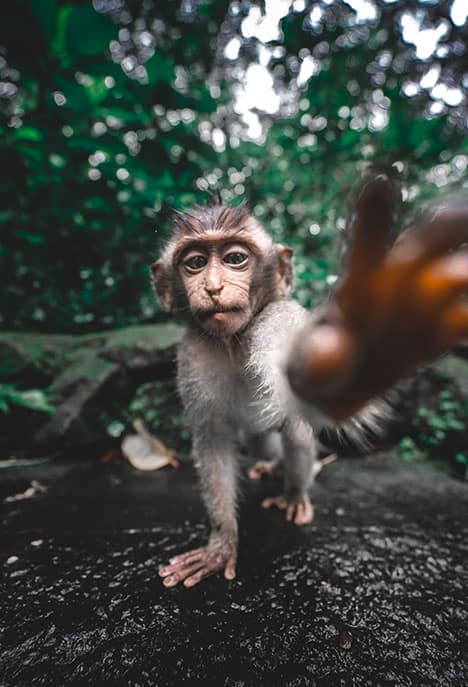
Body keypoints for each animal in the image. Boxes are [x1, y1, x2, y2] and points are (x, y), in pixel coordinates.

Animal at [152, 182, 468, 589]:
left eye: (235, 258)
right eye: (195, 263)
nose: (214, 287)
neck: (234, 341)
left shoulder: (279, 318)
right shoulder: (193, 354)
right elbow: (213, 440)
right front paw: (221, 543)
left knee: (298, 434)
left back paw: (294, 494)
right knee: (257, 440)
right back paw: (271, 466)